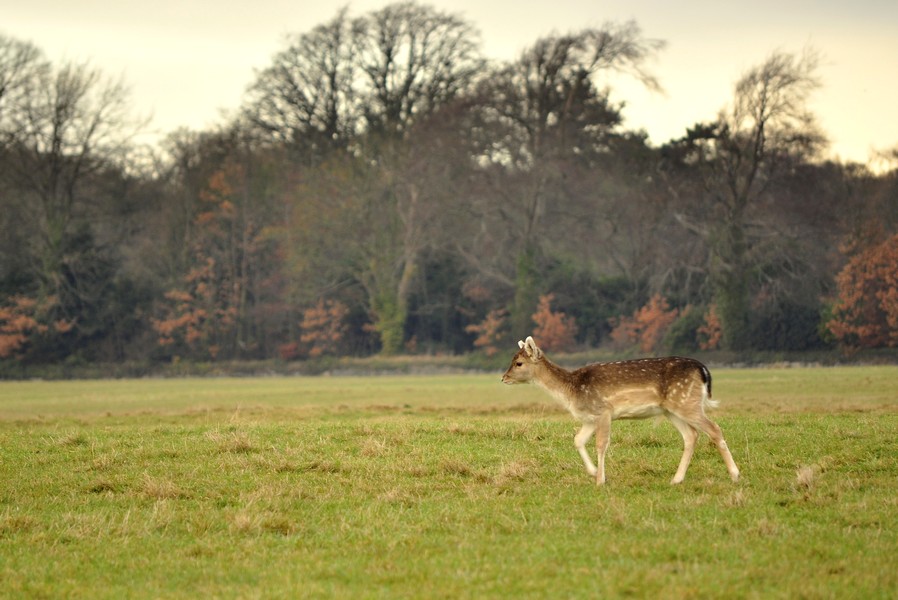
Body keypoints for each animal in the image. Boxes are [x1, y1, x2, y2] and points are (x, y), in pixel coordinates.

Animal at [500, 336, 740, 486]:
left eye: (519, 362)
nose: (503, 378)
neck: (572, 391)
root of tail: (703, 371)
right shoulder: (590, 418)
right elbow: (578, 440)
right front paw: (594, 472)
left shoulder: (604, 411)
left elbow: (601, 444)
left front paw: (600, 480)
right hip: (672, 409)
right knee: (691, 435)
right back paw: (676, 479)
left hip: (686, 402)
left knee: (714, 429)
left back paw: (735, 474)